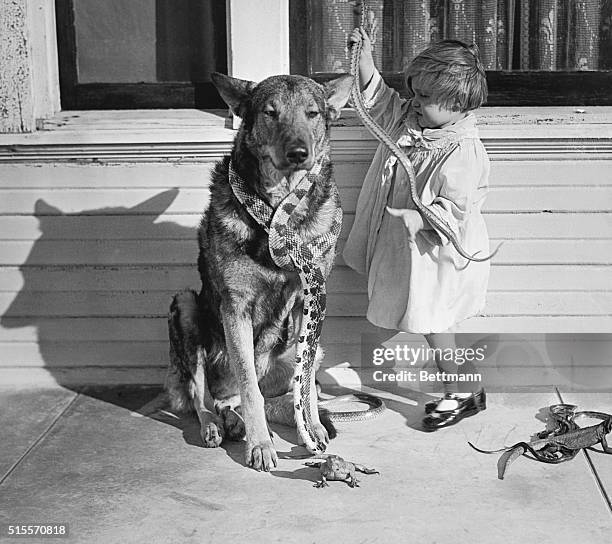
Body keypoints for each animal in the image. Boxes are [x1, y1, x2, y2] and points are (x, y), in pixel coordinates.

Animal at [165, 71, 352, 472]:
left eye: (312, 113)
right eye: (270, 112)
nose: (299, 153)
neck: (281, 212)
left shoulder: (311, 301)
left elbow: (306, 383)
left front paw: (310, 427)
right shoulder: (235, 309)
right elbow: (249, 386)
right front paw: (261, 445)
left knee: (259, 396)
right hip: (186, 305)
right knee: (205, 395)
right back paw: (217, 426)